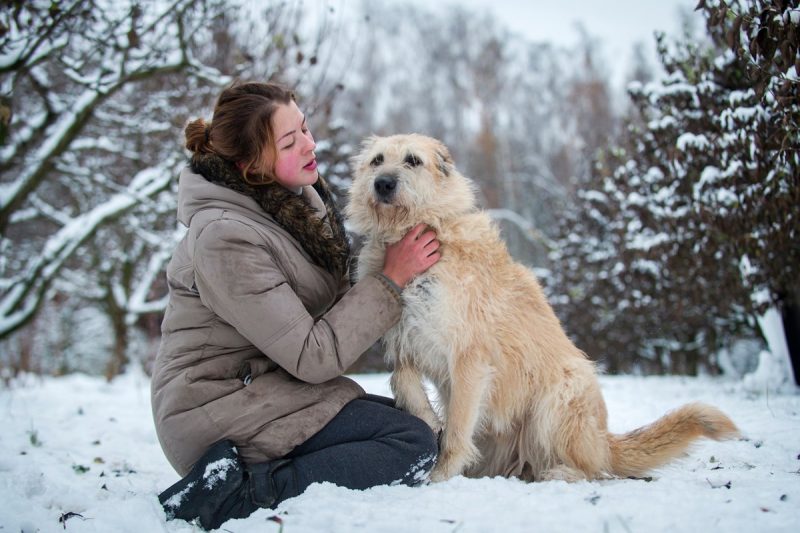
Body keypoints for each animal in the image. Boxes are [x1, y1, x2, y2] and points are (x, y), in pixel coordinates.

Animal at [345, 133, 739, 482]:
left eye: (412, 160)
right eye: (377, 160)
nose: (383, 184)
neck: (419, 232)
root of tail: (603, 440)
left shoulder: (470, 357)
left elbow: (457, 428)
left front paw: (441, 473)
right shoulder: (404, 341)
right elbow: (404, 384)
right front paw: (429, 422)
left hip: (558, 399)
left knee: (593, 470)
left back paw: (562, 472)